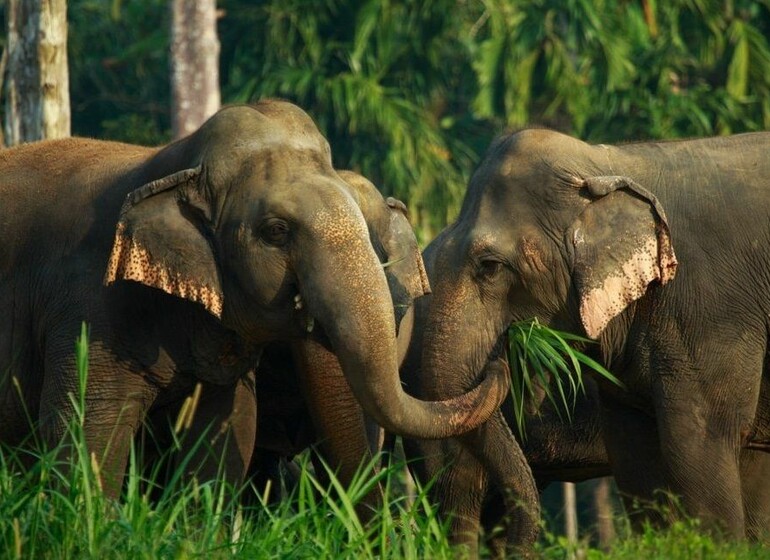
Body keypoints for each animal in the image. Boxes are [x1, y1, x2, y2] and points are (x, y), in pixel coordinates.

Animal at [0, 98, 510, 496]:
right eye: (276, 232)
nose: (499, 362)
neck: (173, 163)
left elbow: (228, 433)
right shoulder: (89, 303)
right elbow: (84, 427)